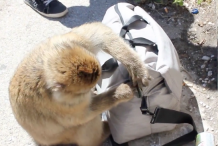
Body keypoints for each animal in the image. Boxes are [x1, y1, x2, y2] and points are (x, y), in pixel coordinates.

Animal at [8, 22, 152, 146]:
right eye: (84, 90)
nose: (90, 90)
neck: (43, 71)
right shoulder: (62, 104)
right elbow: (83, 116)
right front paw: (123, 91)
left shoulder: (73, 42)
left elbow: (100, 33)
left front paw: (136, 68)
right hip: (66, 137)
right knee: (87, 123)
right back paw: (102, 134)